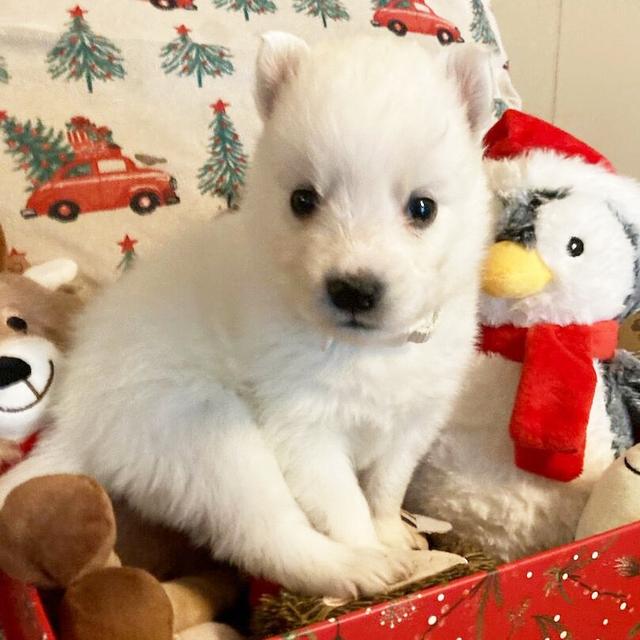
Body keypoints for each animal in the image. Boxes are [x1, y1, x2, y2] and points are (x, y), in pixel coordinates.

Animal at [1, 33, 490, 596]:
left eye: (423, 208)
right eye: (303, 200)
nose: (352, 290)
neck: (366, 350)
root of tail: (76, 423)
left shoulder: (414, 421)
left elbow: (387, 488)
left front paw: (394, 535)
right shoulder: (305, 429)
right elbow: (346, 505)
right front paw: (373, 550)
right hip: (209, 436)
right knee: (267, 535)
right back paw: (352, 568)